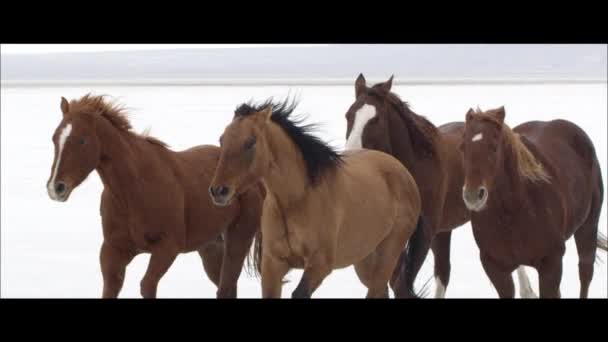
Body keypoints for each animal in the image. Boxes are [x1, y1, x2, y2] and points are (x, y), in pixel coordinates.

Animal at [47, 95, 264, 298]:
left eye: (82, 140)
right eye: (54, 137)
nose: (55, 187)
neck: (135, 191)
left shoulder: (167, 249)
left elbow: (147, 286)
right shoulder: (113, 250)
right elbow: (111, 288)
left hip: (239, 238)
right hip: (211, 247)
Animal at [344, 74, 540, 296]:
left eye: (375, 119)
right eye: (348, 115)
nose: (351, 158)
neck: (417, 168)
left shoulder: (424, 233)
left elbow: (402, 284)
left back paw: (527, 291)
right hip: (444, 231)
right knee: (443, 273)